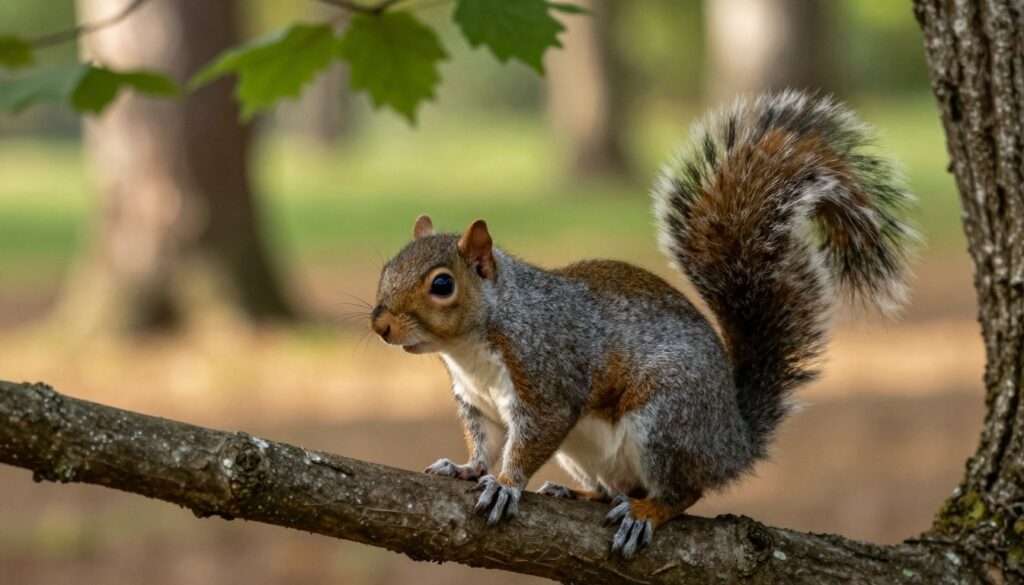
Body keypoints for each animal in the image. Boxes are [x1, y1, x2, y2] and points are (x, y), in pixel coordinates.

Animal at [369, 91, 917, 559]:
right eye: (386, 268)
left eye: (442, 285)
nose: (380, 326)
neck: (469, 349)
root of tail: (732, 441)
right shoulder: (479, 405)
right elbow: (485, 444)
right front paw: (467, 469)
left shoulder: (547, 376)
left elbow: (531, 439)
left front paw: (505, 485)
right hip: (591, 451)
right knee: (619, 486)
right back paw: (580, 495)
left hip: (667, 421)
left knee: (684, 491)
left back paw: (647, 511)